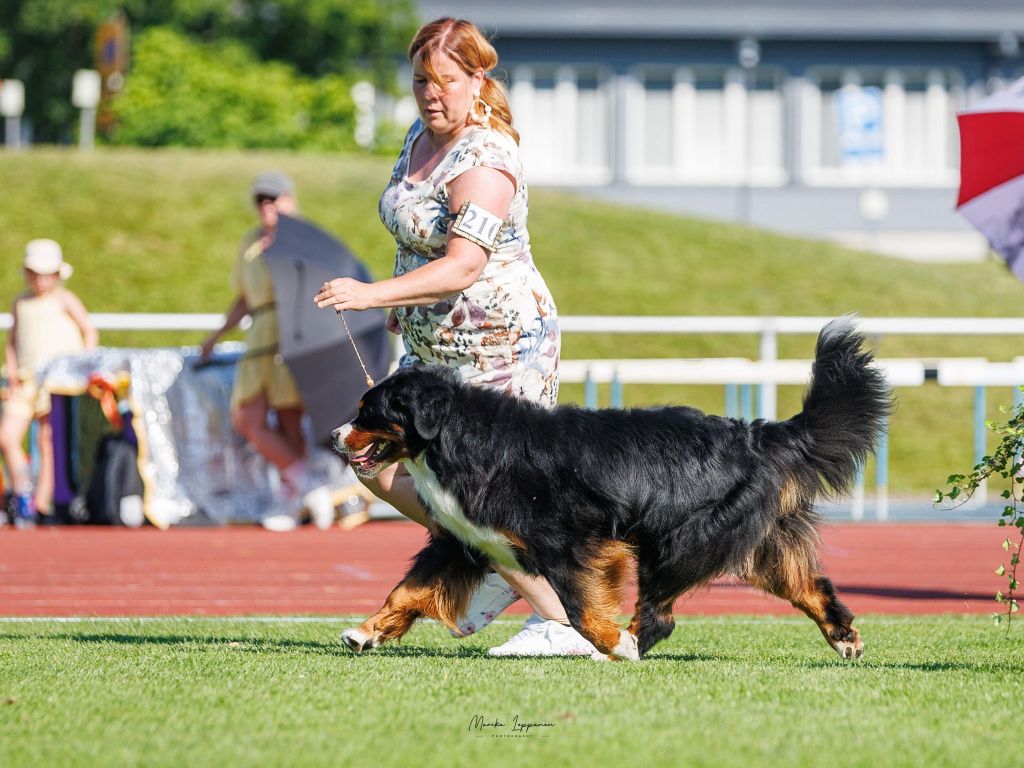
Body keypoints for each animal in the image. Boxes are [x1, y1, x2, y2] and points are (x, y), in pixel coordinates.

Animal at [332, 317, 891, 660]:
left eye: (367, 412)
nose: (334, 436)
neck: (459, 440)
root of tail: (755, 434)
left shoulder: (571, 542)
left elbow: (580, 607)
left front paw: (611, 641)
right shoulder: (462, 540)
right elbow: (408, 589)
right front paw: (366, 631)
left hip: (678, 541)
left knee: (661, 613)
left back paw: (629, 645)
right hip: (756, 542)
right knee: (808, 586)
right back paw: (844, 637)